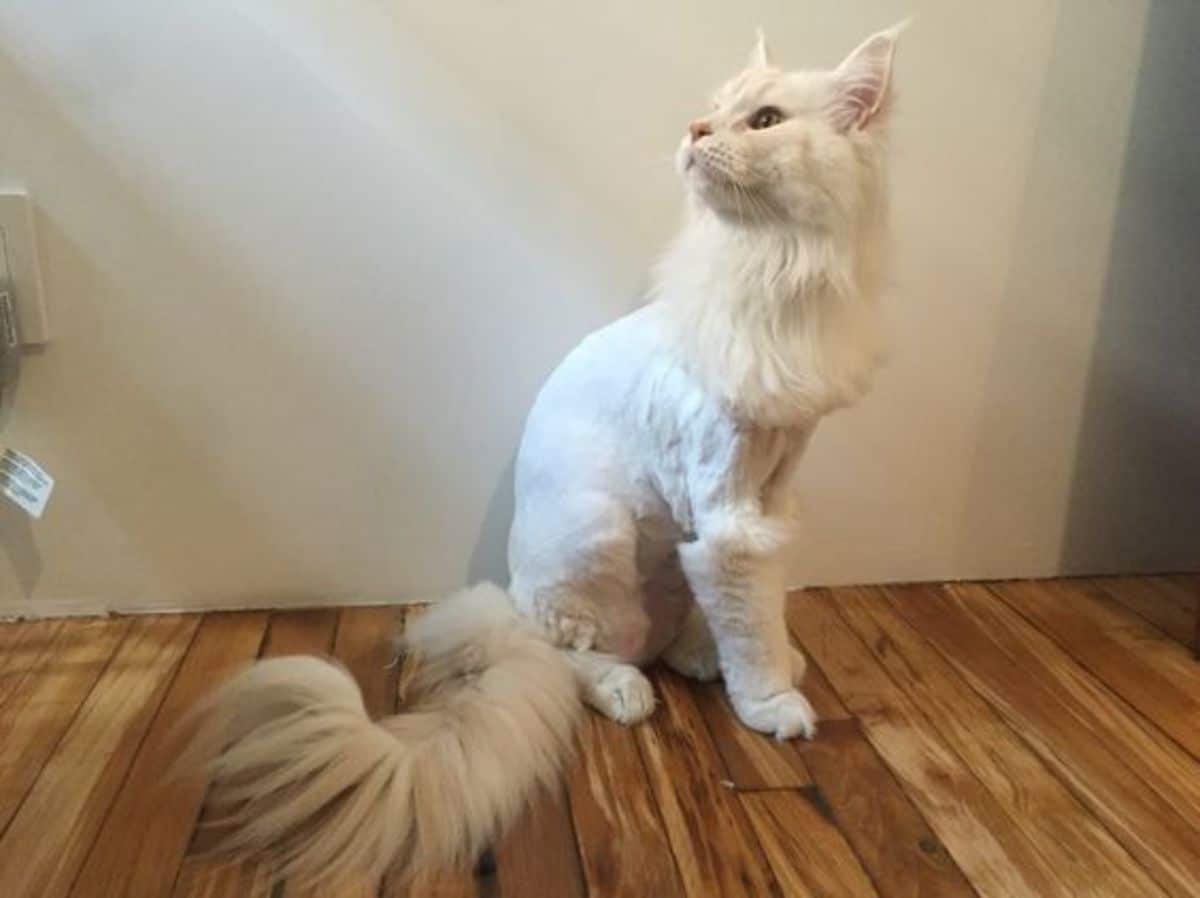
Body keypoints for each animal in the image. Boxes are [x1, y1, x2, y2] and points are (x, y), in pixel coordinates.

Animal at [180, 26, 902, 893]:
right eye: (715, 108)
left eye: (763, 120)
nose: (694, 131)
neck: (776, 271)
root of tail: (505, 613)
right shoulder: (728, 513)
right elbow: (752, 626)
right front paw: (770, 705)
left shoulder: (772, 494)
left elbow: (763, 612)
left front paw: (772, 666)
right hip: (597, 536)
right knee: (571, 657)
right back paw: (628, 687)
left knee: (664, 632)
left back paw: (692, 653)